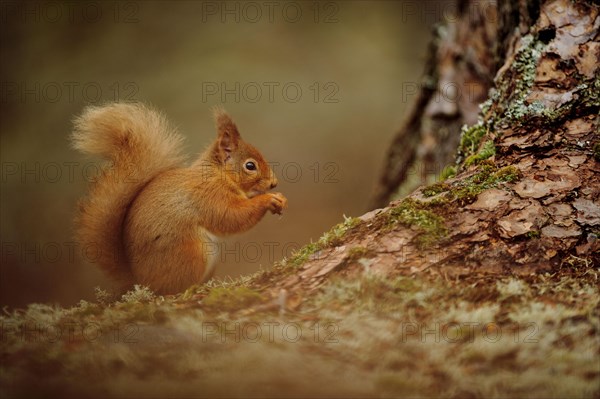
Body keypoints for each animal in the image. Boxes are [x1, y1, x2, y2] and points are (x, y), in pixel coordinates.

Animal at [71, 104, 288, 294]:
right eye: (250, 166)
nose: (274, 183)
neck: (219, 174)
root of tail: (139, 280)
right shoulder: (209, 195)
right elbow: (231, 217)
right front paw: (268, 200)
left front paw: (280, 198)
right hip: (192, 254)